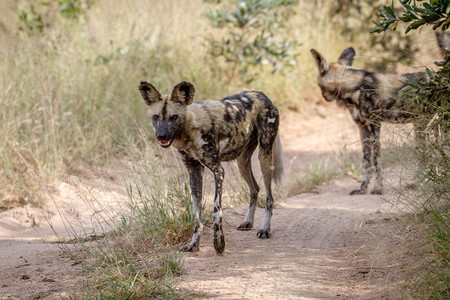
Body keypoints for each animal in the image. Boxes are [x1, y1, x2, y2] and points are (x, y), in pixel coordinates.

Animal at [139, 81, 284, 254]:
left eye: (174, 117)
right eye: (156, 117)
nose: (161, 136)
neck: (188, 132)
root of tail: (263, 95)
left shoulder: (218, 171)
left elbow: (216, 212)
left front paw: (219, 243)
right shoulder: (194, 172)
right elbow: (197, 215)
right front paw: (194, 244)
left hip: (264, 157)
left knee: (269, 197)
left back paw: (264, 229)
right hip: (242, 162)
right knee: (255, 189)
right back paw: (248, 222)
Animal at [310, 47, 428, 195]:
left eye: (319, 85)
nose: (324, 97)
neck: (353, 88)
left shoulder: (375, 124)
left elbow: (376, 160)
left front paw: (378, 188)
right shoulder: (363, 128)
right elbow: (366, 161)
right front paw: (363, 188)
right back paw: (419, 183)